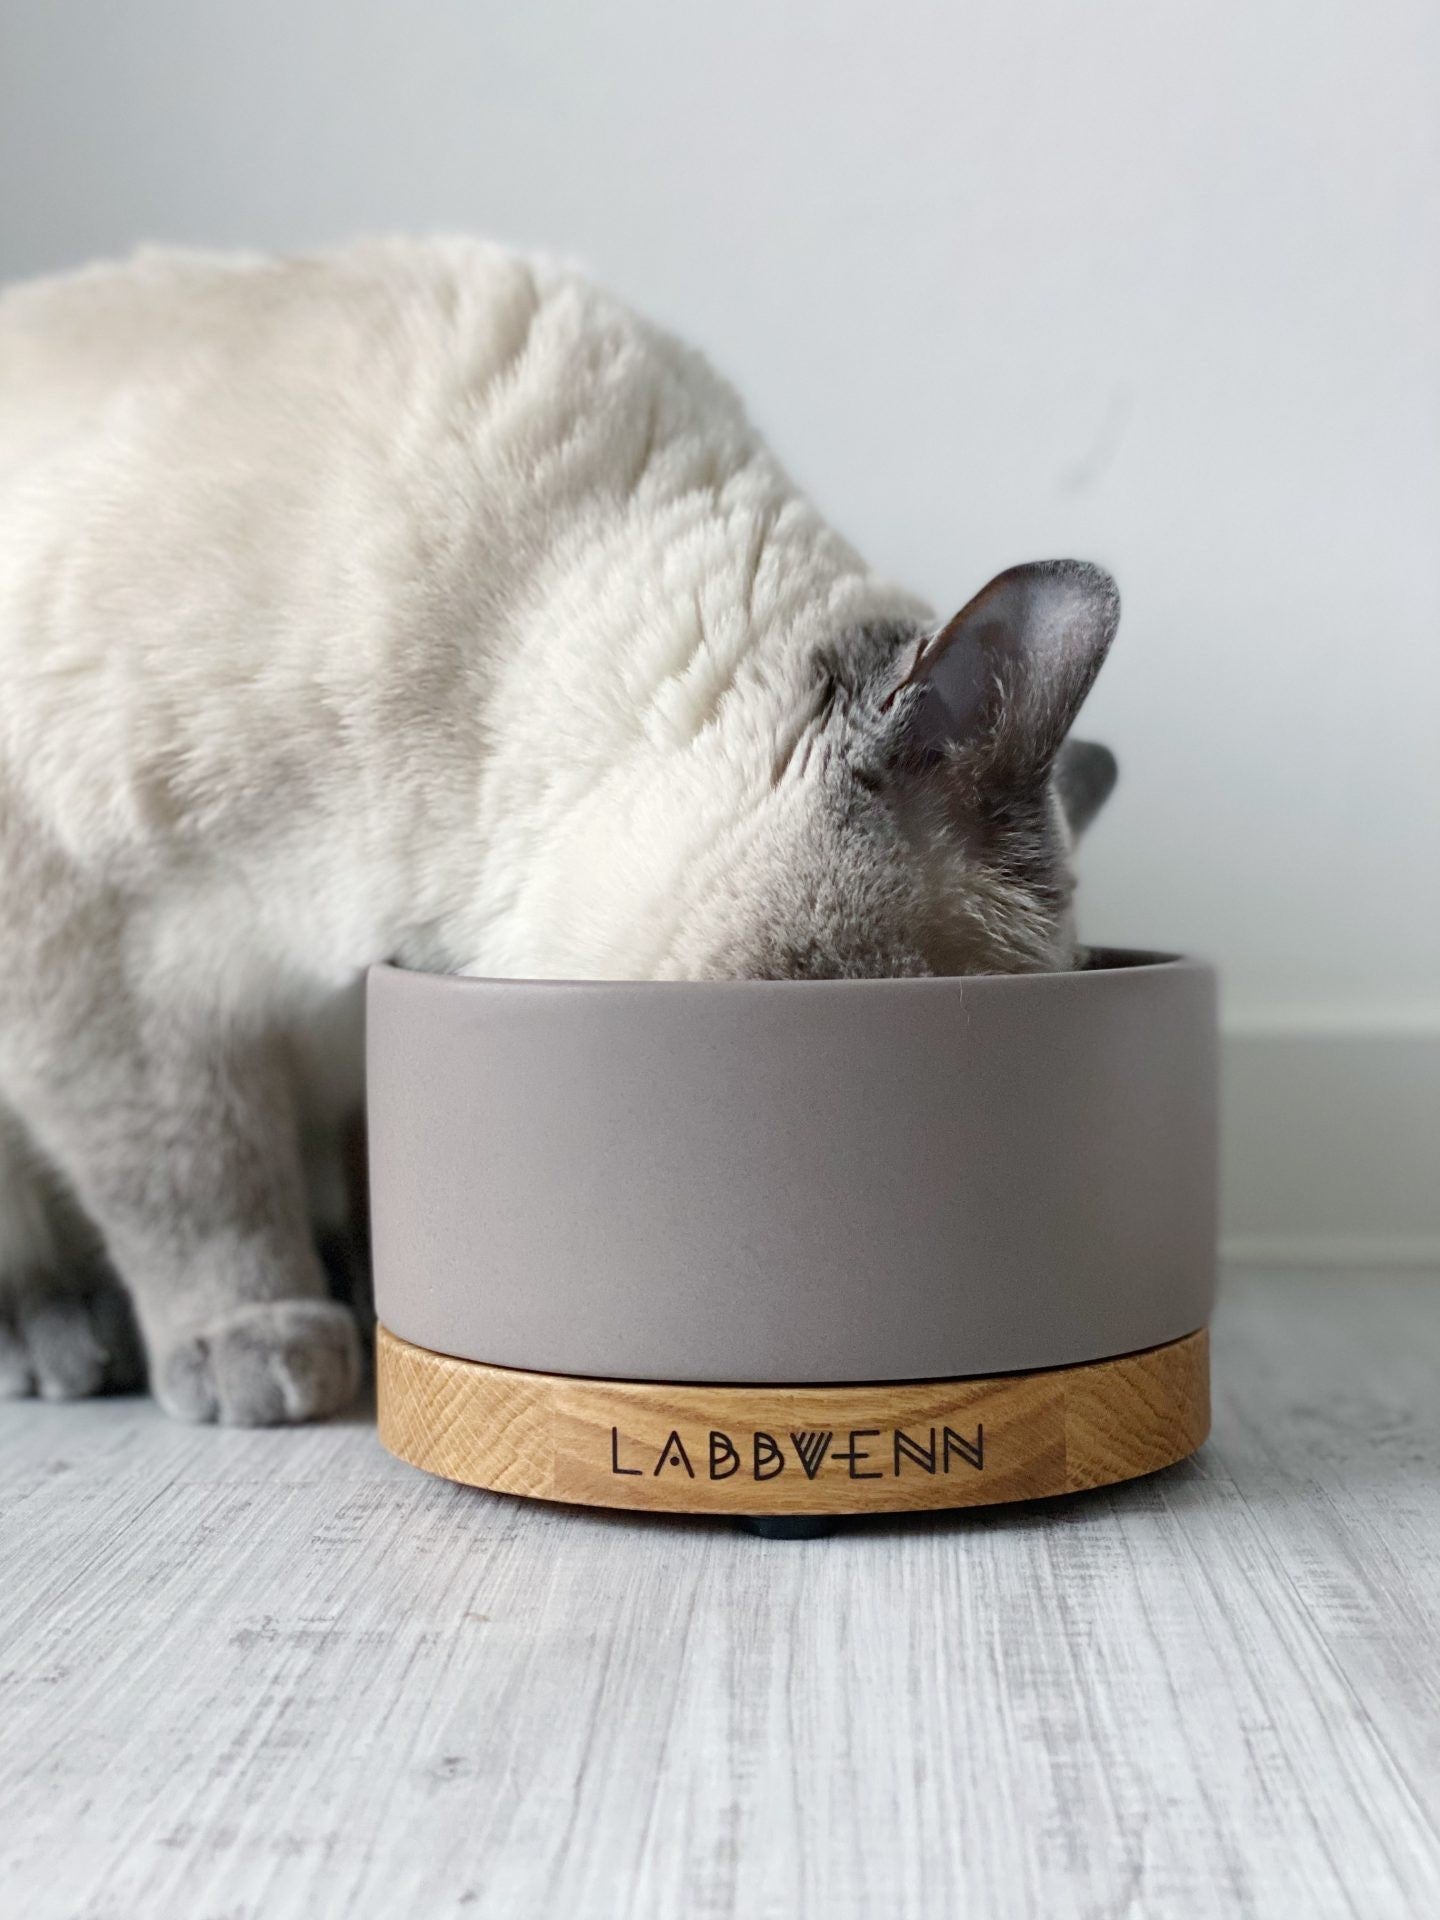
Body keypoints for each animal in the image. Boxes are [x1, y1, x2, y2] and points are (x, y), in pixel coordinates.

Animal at [0, 239, 1120, 1425]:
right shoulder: (104, 950)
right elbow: (193, 1175)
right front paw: (265, 1343)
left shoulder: (349, 1022)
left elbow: (353, 1167)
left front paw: (371, 1290)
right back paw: (62, 1337)